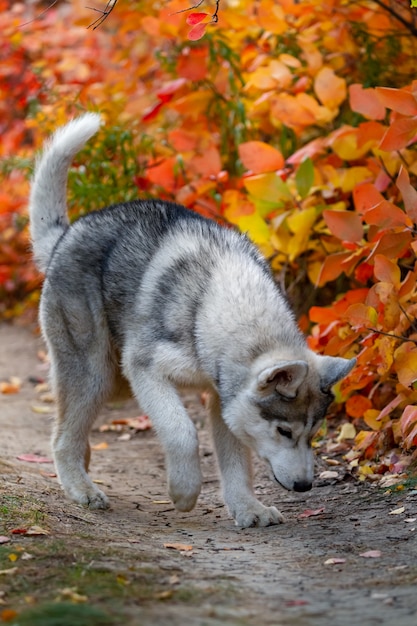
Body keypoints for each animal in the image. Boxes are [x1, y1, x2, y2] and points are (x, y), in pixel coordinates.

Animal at [29, 113, 354, 528]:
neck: (216, 307)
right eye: (284, 431)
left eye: (313, 433)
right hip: (98, 374)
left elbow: (236, 464)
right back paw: (81, 488)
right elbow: (182, 433)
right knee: (61, 437)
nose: (304, 487)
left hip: (114, 384)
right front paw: (184, 493)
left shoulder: (223, 398)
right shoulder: (146, 371)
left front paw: (248, 509)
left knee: (72, 430)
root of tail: (64, 237)